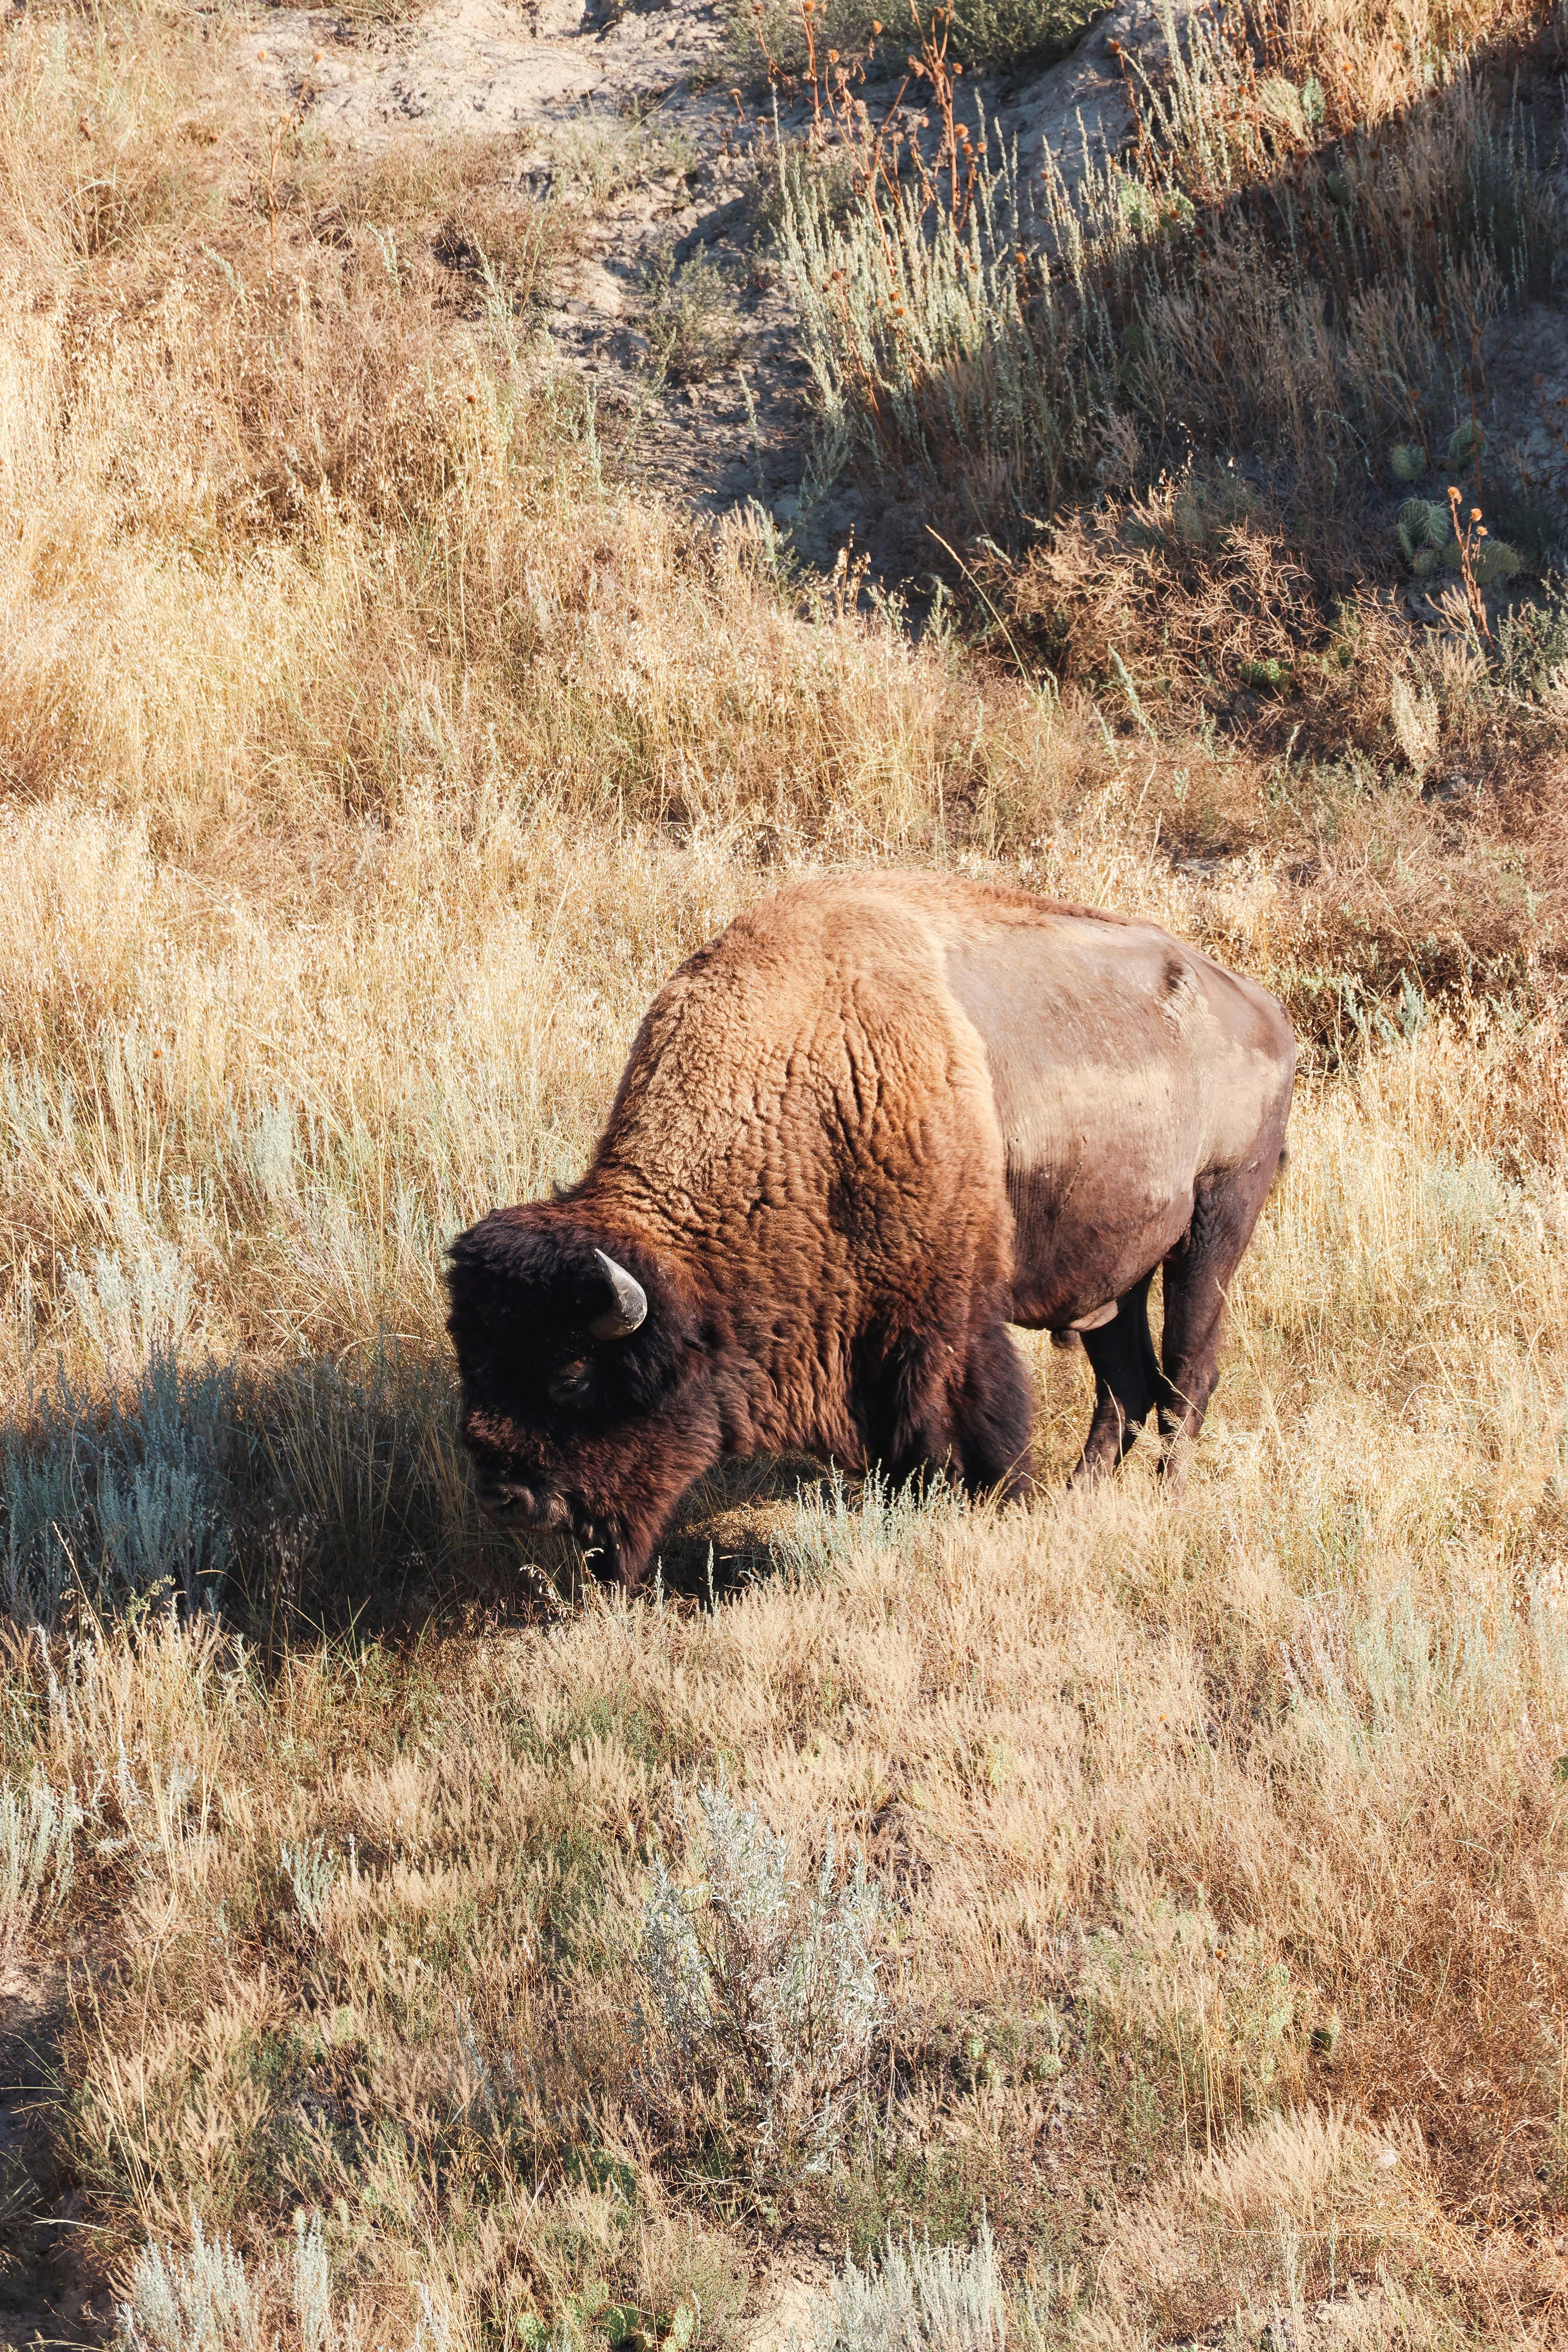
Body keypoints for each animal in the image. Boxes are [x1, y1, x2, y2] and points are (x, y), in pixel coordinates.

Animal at [446, 875, 1297, 1590]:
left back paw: (1164, 1496)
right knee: (1122, 1386)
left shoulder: (945, 1325)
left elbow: (976, 1428)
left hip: (1215, 1226)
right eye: (476, 1360)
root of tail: (1262, 1007)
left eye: (572, 1375)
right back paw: (1078, 1500)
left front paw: (994, 1509)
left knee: (1186, 1374)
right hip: (1114, 1276)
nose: (505, 1496)